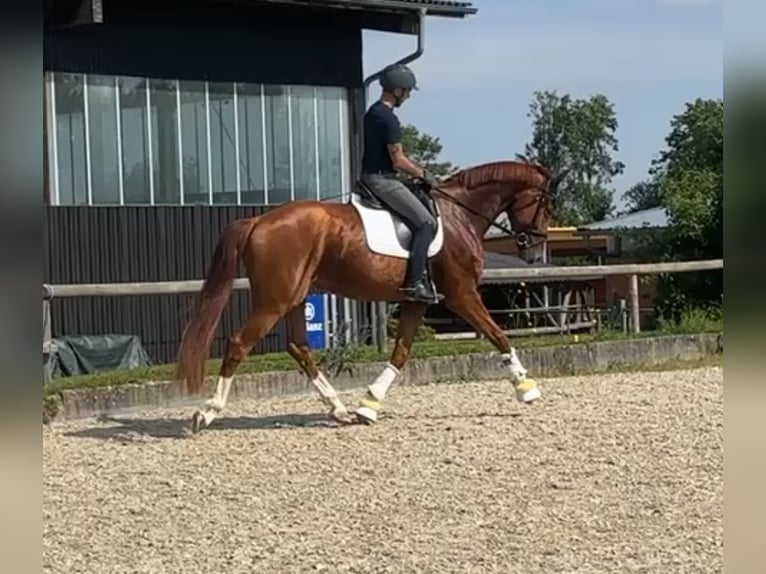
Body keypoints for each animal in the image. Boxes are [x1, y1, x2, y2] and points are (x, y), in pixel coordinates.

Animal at [177, 158, 568, 432]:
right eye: (547, 204)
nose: (534, 254)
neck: (459, 214)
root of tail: (258, 221)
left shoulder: (416, 300)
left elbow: (401, 353)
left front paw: (369, 405)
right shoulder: (461, 294)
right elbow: (498, 334)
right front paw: (526, 388)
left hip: (295, 298)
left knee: (298, 347)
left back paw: (339, 409)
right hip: (274, 300)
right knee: (240, 343)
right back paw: (207, 413)